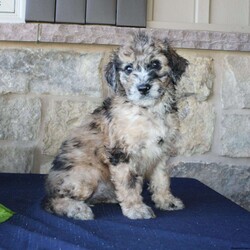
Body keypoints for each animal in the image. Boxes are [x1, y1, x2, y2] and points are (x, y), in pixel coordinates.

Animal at [43, 32, 188, 220]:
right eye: (128, 68)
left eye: (156, 63)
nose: (143, 88)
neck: (148, 111)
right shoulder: (121, 153)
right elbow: (129, 183)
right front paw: (136, 209)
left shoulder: (161, 152)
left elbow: (161, 179)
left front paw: (166, 201)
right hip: (86, 175)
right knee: (53, 200)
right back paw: (78, 209)